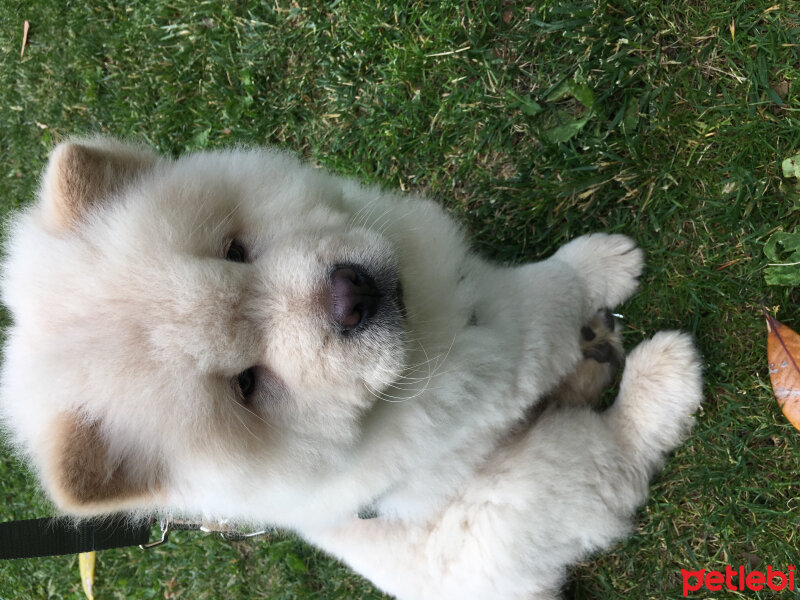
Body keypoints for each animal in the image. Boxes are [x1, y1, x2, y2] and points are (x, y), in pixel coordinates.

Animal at [0, 138, 700, 596]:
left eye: (234, 251)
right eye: (247, 385)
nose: (351, 295)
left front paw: (601, 264)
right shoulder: (497, 349)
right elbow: (543, 295)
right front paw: (604, 266)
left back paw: (597, 351)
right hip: (538, 480)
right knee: (618, 456)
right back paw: (661, 370)